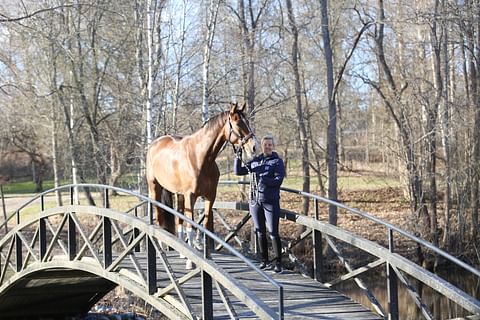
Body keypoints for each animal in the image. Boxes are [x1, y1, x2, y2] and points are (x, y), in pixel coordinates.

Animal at [146, 102, 256, 268]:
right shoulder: (191, 196)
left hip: (179, 195)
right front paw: (191, 263)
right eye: (237, 122)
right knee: (159, 216)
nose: (254, 146)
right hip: (155, 189)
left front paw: (207, 256)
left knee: (179, 218)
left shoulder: (210, 197)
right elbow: (191, 227)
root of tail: (154, 144)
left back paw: (182, 252)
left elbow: (203, 225)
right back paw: (161, 248)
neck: (200, 158)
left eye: (247, 121)